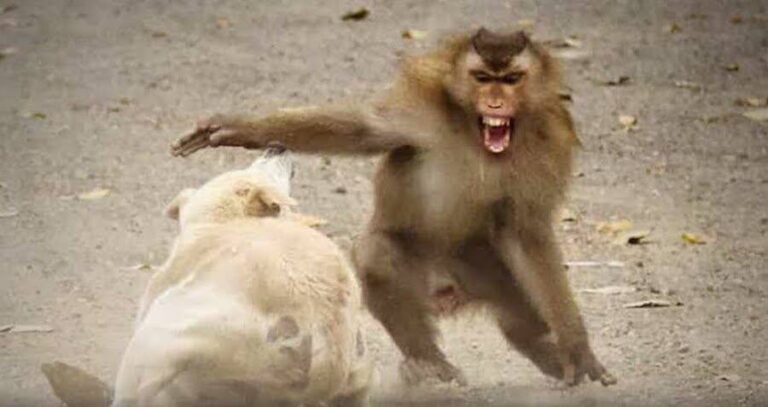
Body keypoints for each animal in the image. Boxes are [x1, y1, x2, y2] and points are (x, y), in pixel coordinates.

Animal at [171, 27, 616, 388]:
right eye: (482, 78)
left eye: (510, 80)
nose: (494, 103)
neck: (478, 138)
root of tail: (448, 289)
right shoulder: (420, 113)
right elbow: (365, 129)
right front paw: (237, 129)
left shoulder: (548, 144)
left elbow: (527, 231)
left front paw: (577, 348)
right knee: (379, 255)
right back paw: (431, 364)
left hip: (488, 267)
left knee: (523, 319)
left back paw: (545, 352)